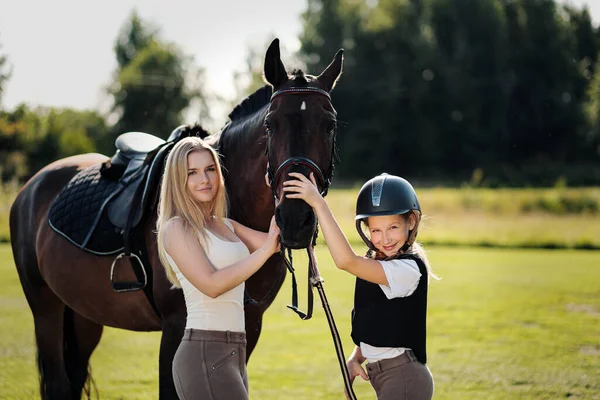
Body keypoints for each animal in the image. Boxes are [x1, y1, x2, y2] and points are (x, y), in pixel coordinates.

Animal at [9, 38, 342, 400]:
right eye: (271, 124)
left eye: (330, 125)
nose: (296, 219)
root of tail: (32, 187)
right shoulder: (175, 327)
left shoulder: (250, 321)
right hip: (46, 308)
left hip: (84, 315)